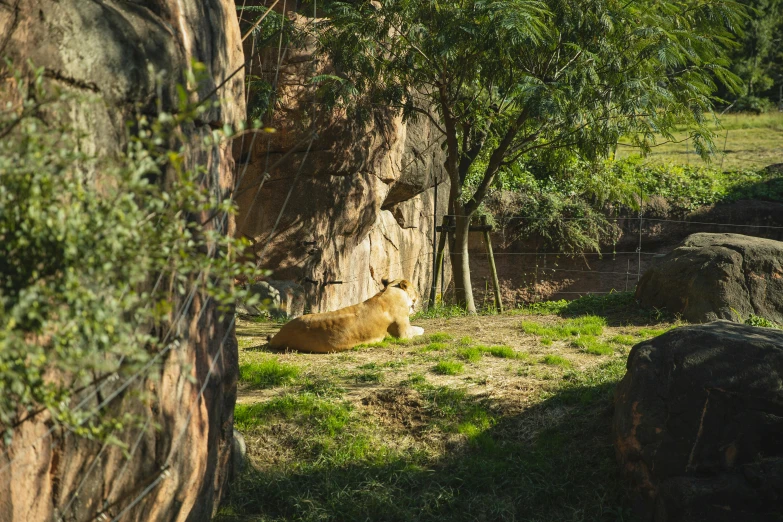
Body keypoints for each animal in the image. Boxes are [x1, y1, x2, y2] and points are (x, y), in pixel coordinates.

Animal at [268, 276, 428, 354]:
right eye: (415, 288)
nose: (419, 295)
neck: (390, 291)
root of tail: (280, 333)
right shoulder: (403, 334)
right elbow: (418, 329)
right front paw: (422, 329)